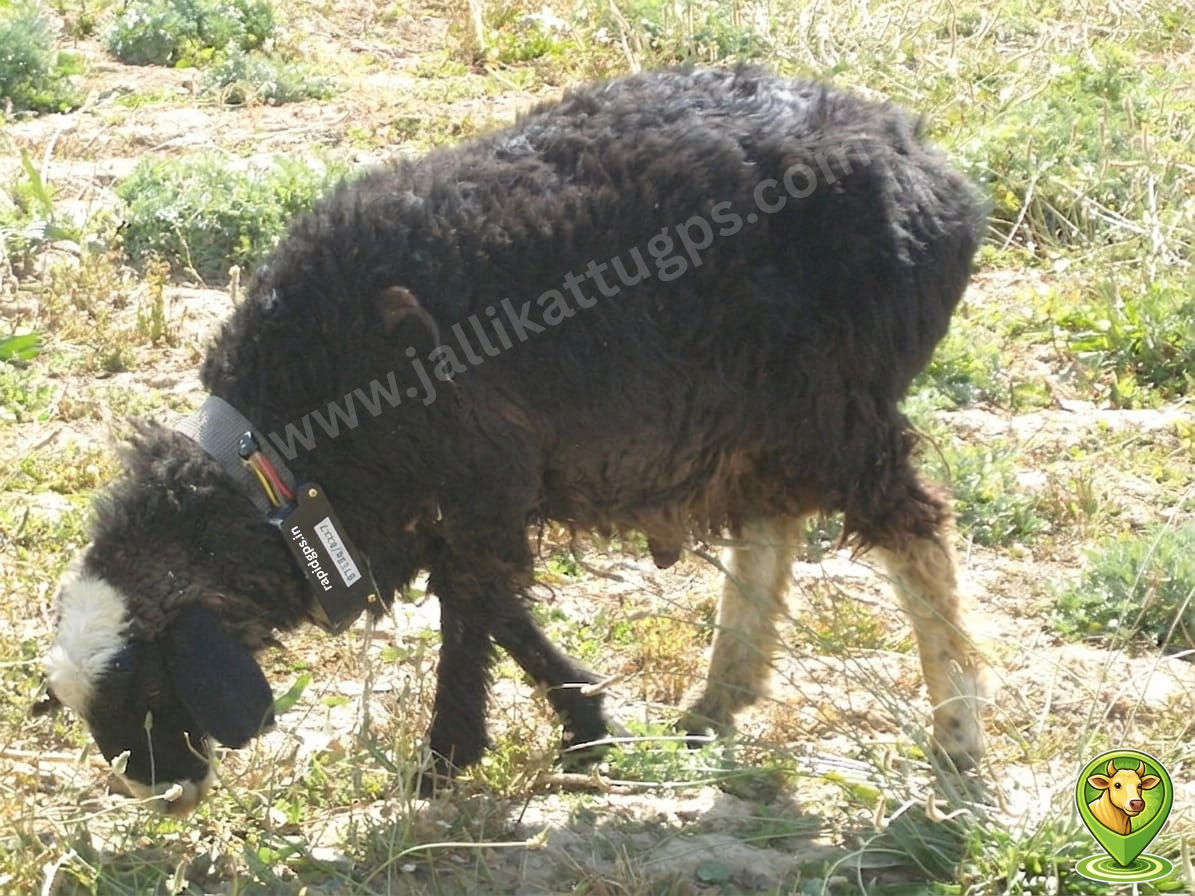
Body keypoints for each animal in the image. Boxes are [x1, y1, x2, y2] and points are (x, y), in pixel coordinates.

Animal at [42, 65, 989, 814]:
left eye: (150, 681)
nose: (159, 793)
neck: (283, 464)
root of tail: (930, 173)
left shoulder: (477, 476)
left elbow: (473, 606)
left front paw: (442, 762)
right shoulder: (434, 505)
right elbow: (490, 604)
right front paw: (584, 725)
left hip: (833, 406)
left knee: (915, 529)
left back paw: (955, 743)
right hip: (764, 418)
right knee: (770, 527)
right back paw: (714, 704)